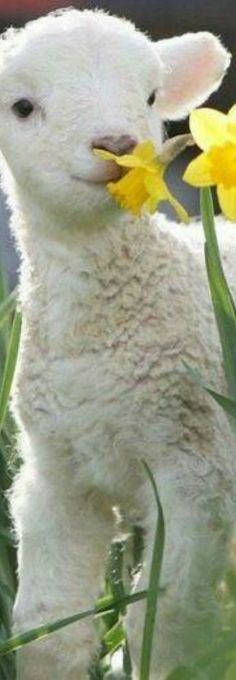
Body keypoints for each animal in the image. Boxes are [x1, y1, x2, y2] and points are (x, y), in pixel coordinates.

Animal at [0, 6, 235, 680]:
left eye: (152, 96)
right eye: (22, 106)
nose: (119, 146)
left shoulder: (195, 468)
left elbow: (169, 624)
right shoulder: (55, 473)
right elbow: (47, 629)